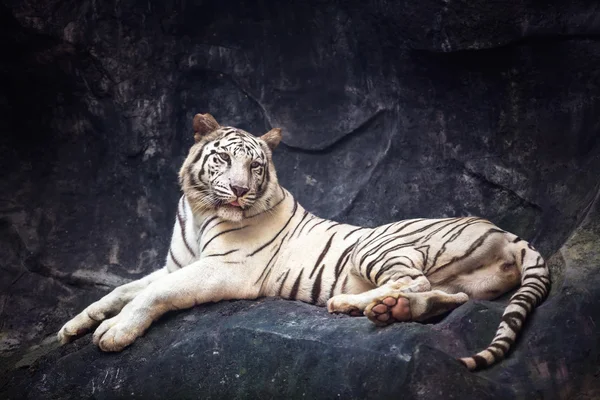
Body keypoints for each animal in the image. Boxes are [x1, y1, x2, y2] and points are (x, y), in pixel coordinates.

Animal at [58, 111, 552, 368]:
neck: (200, 212)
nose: (239, 190)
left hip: (376, 246)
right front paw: (74, 326)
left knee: (416, 281)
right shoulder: (175, 264)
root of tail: (507, 232)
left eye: (255, 166)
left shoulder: (224, 268)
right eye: (222, 160)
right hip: (448, 279)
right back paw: (386, 310)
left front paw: (114, 332)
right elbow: (122, 289)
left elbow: (154, 294)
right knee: (446, 297)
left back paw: (349, 304)